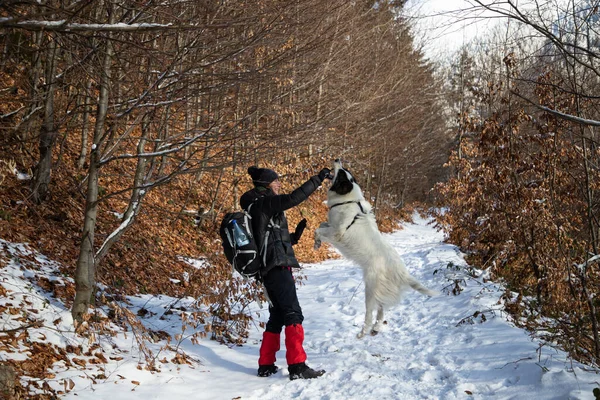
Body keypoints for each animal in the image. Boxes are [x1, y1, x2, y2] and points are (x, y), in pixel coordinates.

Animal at [314, 159, 436, 338]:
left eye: (341, 173)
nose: (337, 159)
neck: (348, 200)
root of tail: (400, 271)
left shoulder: (337, 233)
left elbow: (318, 229)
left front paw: (316, 241)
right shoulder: (331, 226)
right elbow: (322, 225)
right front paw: (317, 243)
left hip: (370, 288)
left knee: (370, 313)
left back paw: (363, 332)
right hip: (380, 289)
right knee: (382, 309)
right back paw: (376, 328)